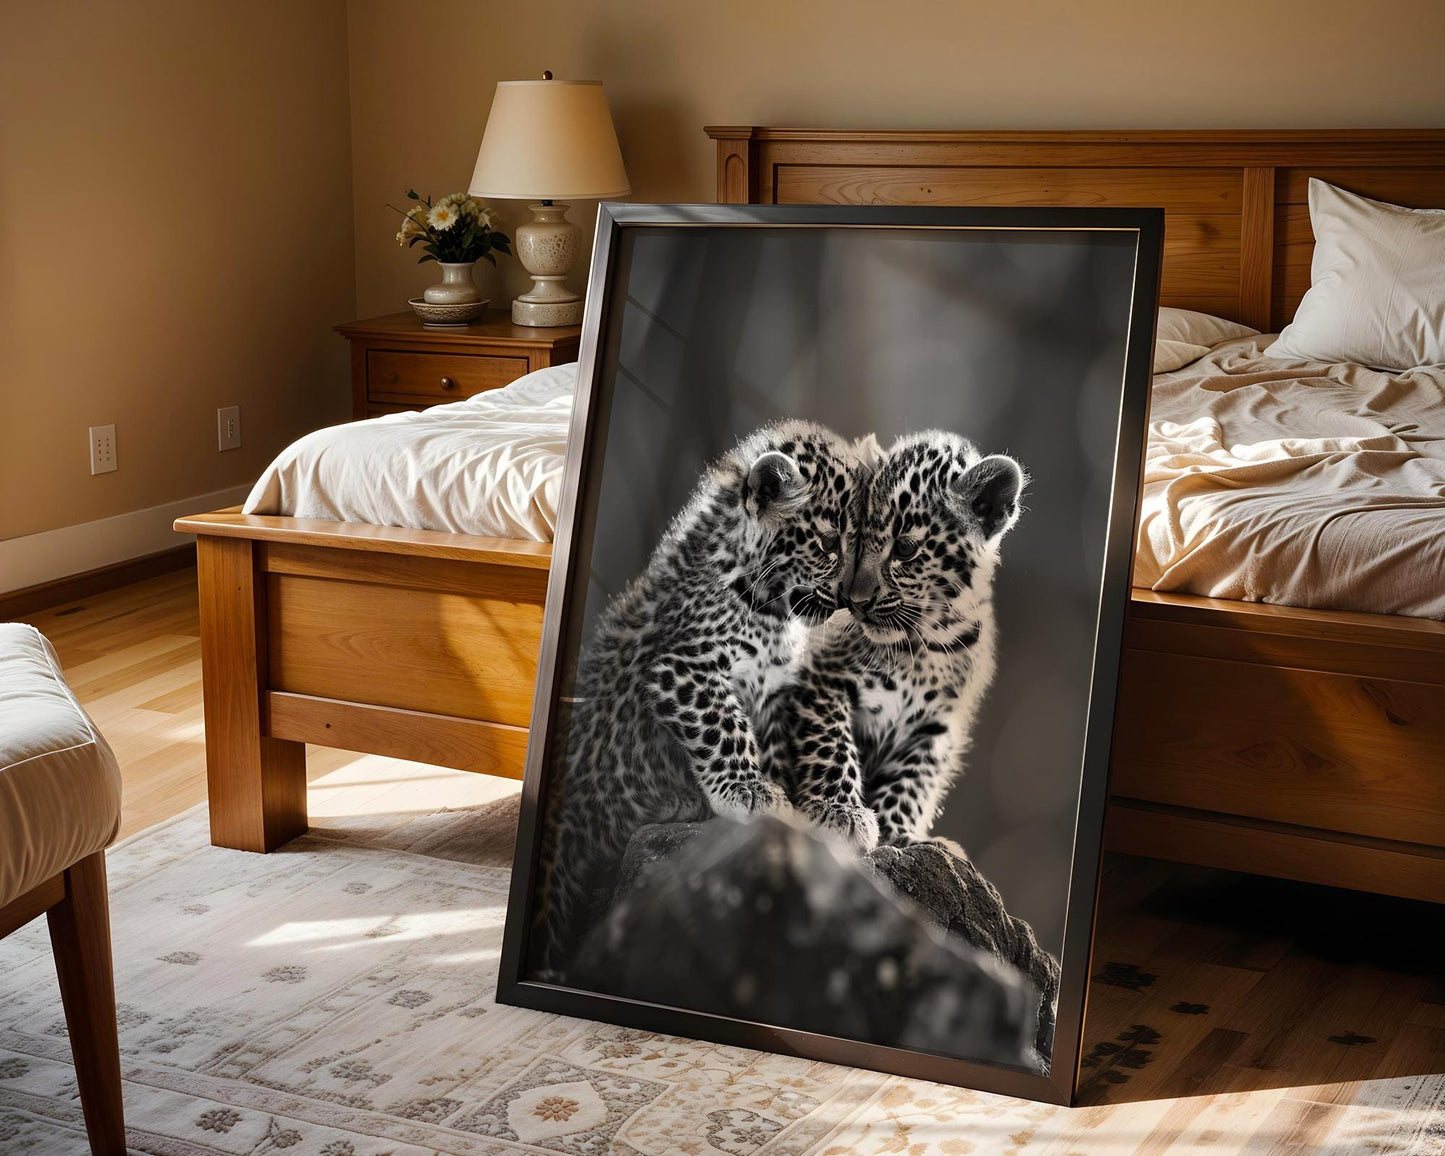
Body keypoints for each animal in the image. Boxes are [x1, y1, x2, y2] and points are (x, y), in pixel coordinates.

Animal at [531, 419, 877, 977]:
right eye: (827, 544)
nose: (851, 599)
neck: (770, 610)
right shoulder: (683, 668)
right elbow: (725, 726)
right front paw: (749, 792)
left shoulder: (784, 689)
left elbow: (827, 746)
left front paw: (835, 809)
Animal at [769, 430, 1026, 851]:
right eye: (853, 542)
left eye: (905, 548)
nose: (856, 601)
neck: (926, 643)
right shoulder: (820, 682)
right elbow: (831, 746)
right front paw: (842, 812)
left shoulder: (938, 725)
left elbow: (913, 780)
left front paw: (898, 833)